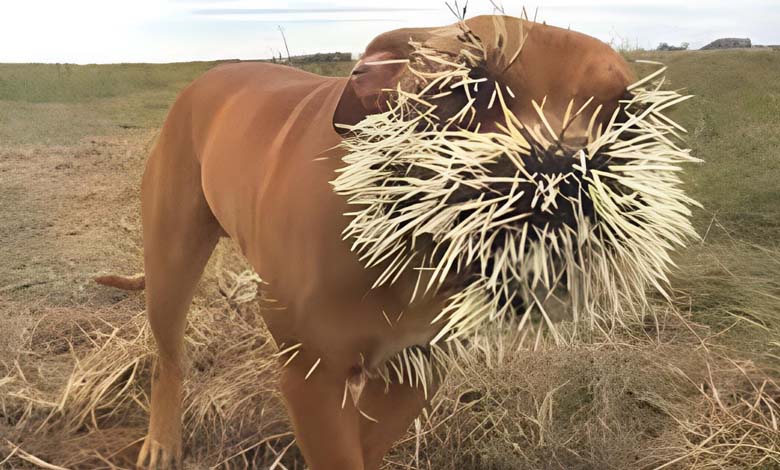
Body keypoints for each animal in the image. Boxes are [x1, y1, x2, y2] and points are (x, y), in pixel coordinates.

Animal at [97, 14, 632, 470]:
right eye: (471, 89)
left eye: (623, 113)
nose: (564, 176)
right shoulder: (313, 377)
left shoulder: (417, 369)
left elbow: (366, 442)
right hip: (171, 263)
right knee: (168, 357)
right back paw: (162, 441)